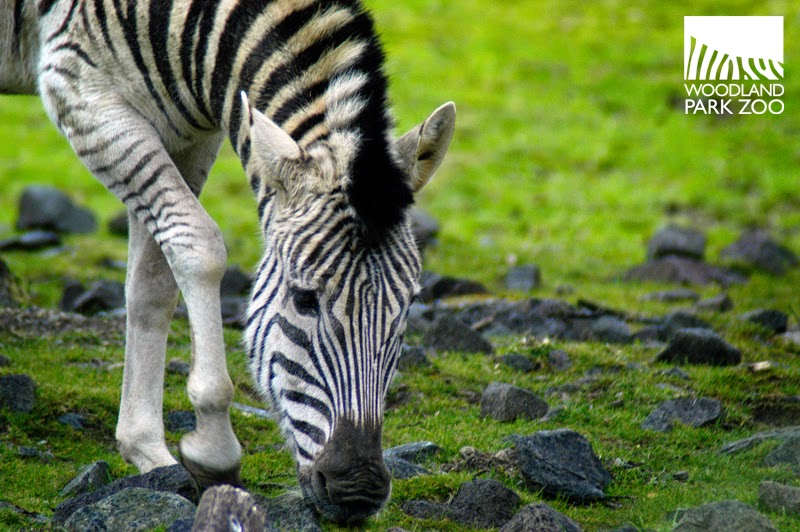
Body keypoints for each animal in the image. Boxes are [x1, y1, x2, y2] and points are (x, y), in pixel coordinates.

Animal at [1, 0, 455, 522]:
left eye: (408, 309)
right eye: (304, 299)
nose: (358, 493)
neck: (191, 26)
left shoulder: (183, 131)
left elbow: (154, 280)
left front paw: (145, 448)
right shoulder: (80, 92)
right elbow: (199, 247)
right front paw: (214, 446)